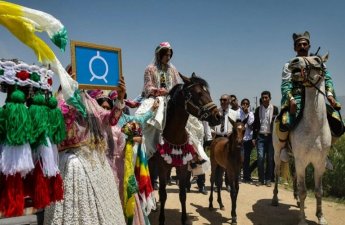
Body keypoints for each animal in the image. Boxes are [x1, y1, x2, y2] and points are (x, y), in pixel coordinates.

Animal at [153, 73, 220, 224]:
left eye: (208, 93)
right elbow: (163, 194)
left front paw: (184, 219)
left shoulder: (182, 167)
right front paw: (161, 219)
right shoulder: (161, 167)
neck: (174, 135)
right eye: (199, 93)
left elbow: (182, 194)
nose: (218, 116)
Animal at [272, 55, 330, 225]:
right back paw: (275, 199)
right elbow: (304, 191)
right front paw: (302, 219)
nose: (294, 61)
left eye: (316, 59)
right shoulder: (302, 161)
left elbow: (318, 191)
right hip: (278, 153)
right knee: (276, 173)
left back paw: (296, 199)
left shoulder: (319, 163)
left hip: (295, 159)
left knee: (295, 177)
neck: (315, 127)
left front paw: (320, 216)